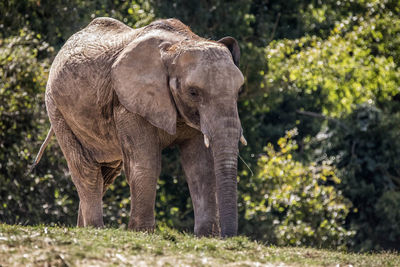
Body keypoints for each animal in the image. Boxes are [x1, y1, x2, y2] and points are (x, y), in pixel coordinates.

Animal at [32, 16, 245, 238]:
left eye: (239, 90)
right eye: (193, 92)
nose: (227, 237)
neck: (179, 45)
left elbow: (200, 168)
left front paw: (205, 236)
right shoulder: (127, 103)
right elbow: (145, 162)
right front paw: (142, 232)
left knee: (106, 173)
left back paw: (84, 228)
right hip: (56, 107)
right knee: (86, 170)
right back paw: (95, 228)